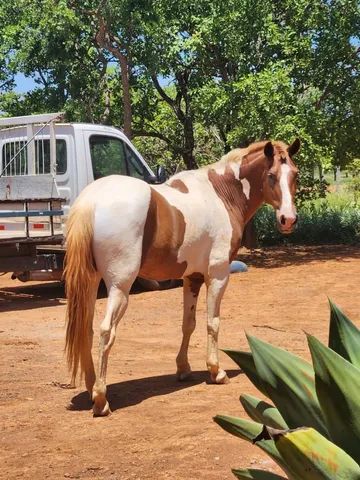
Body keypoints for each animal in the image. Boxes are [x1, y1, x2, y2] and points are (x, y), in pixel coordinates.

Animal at [65, 137, 300, 414]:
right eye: (271, 175)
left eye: (294, 174)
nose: (288, 219)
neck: (221, 194)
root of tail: (92, 201)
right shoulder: (218, 275)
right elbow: (212, 322)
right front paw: (216, 371)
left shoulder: (192, 277)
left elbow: (188, 324)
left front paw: (184, 369)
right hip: (120, 288)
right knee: (105, 331)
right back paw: (101, 399)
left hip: (90, 283)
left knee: (87, 330)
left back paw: (92, 388)